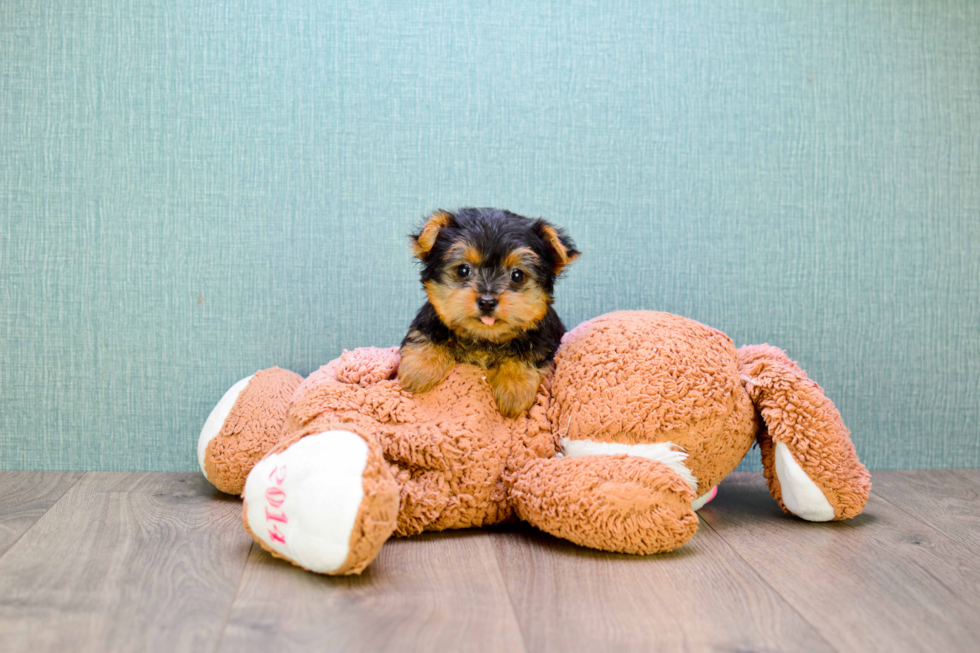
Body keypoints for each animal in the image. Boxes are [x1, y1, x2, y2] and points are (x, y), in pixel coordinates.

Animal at [398, 206, 580, 416]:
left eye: (517, 275)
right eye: (463, 270)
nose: (486, 302)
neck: (485, 338)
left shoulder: (545, 336)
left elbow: (531, 351)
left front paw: (515, 387)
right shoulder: (431, 316)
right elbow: (426, 332)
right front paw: (420, 368)